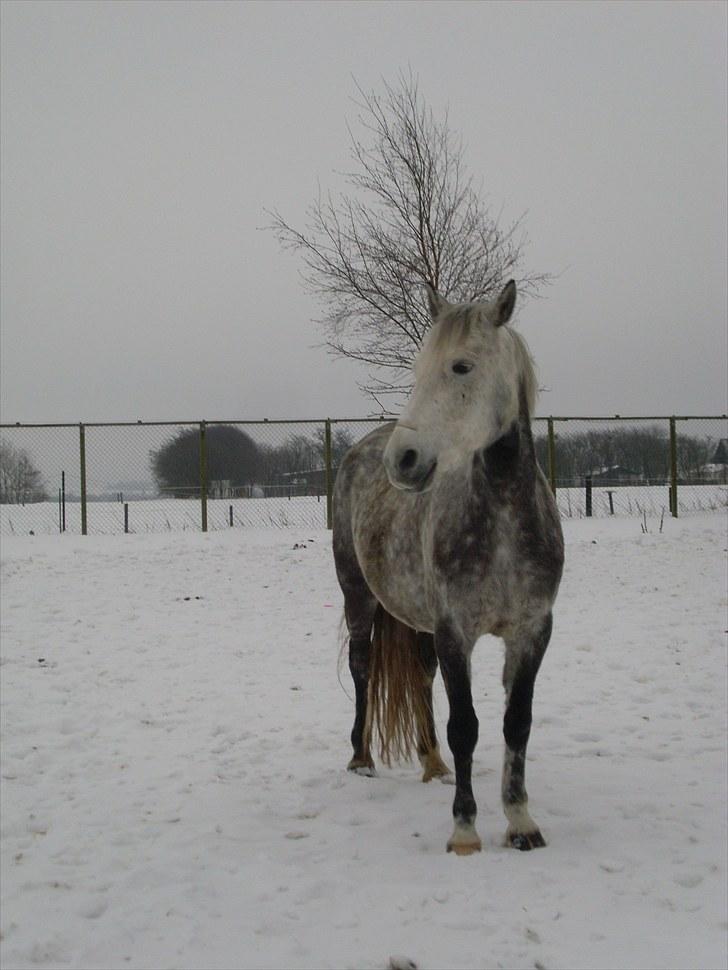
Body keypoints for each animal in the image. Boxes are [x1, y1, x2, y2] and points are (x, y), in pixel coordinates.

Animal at [332, 280, 564, 856]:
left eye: (461, 366)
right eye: (419, 368)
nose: (404, 460)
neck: (502, 515)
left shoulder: (533, 630)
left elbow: (516, 724)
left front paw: (521, 822)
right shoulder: (455, 631)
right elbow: (467, 726)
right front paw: (464, 831)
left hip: (419, 621)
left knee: (420, 677)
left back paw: (432, 762)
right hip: (357, 596)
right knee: (362, 668)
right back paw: (361, 758)